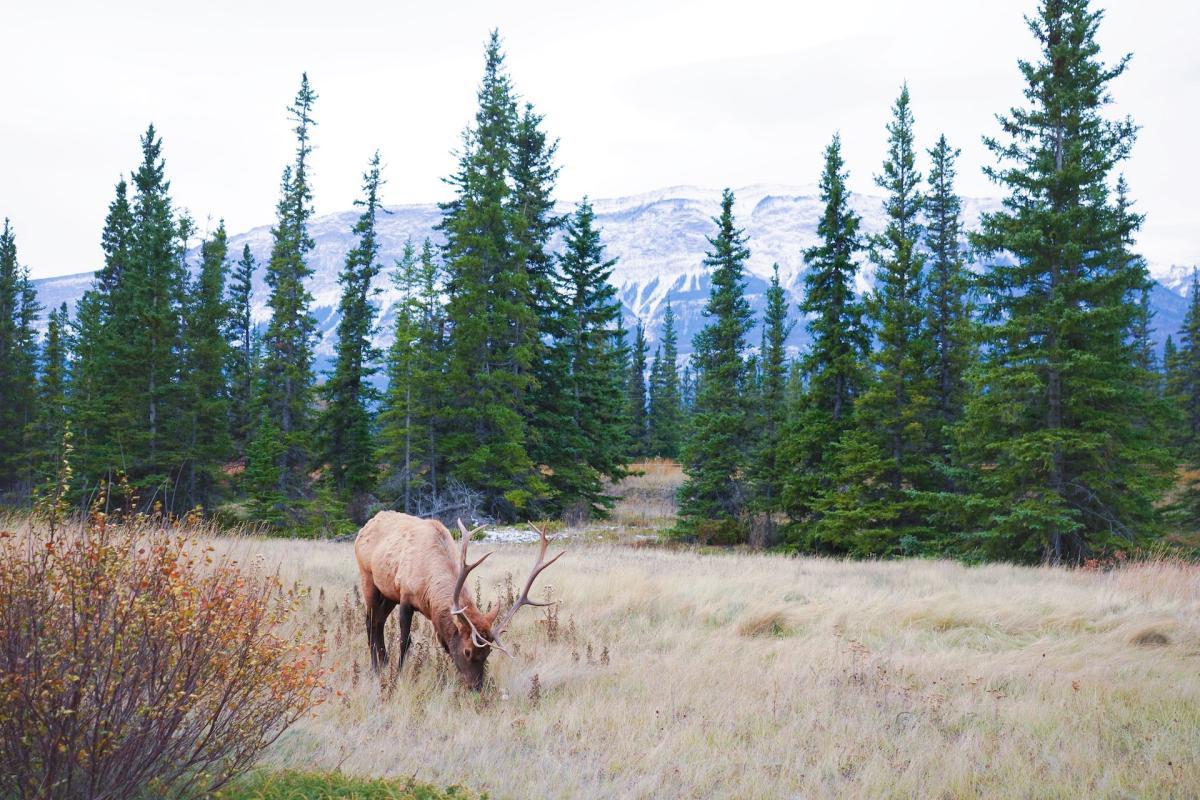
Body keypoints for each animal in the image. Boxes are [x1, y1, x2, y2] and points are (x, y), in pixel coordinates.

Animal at [352, 513, 564, 690]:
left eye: (488, 653)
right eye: (467, 652)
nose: (477, 687)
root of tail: (368, 524)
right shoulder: (405, 596)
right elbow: (405, 641)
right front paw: (399, 675)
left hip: (387, 593)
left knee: (379, 621)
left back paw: (384, 662)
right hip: (368, 577)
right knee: (370, 622)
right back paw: (376, 668)